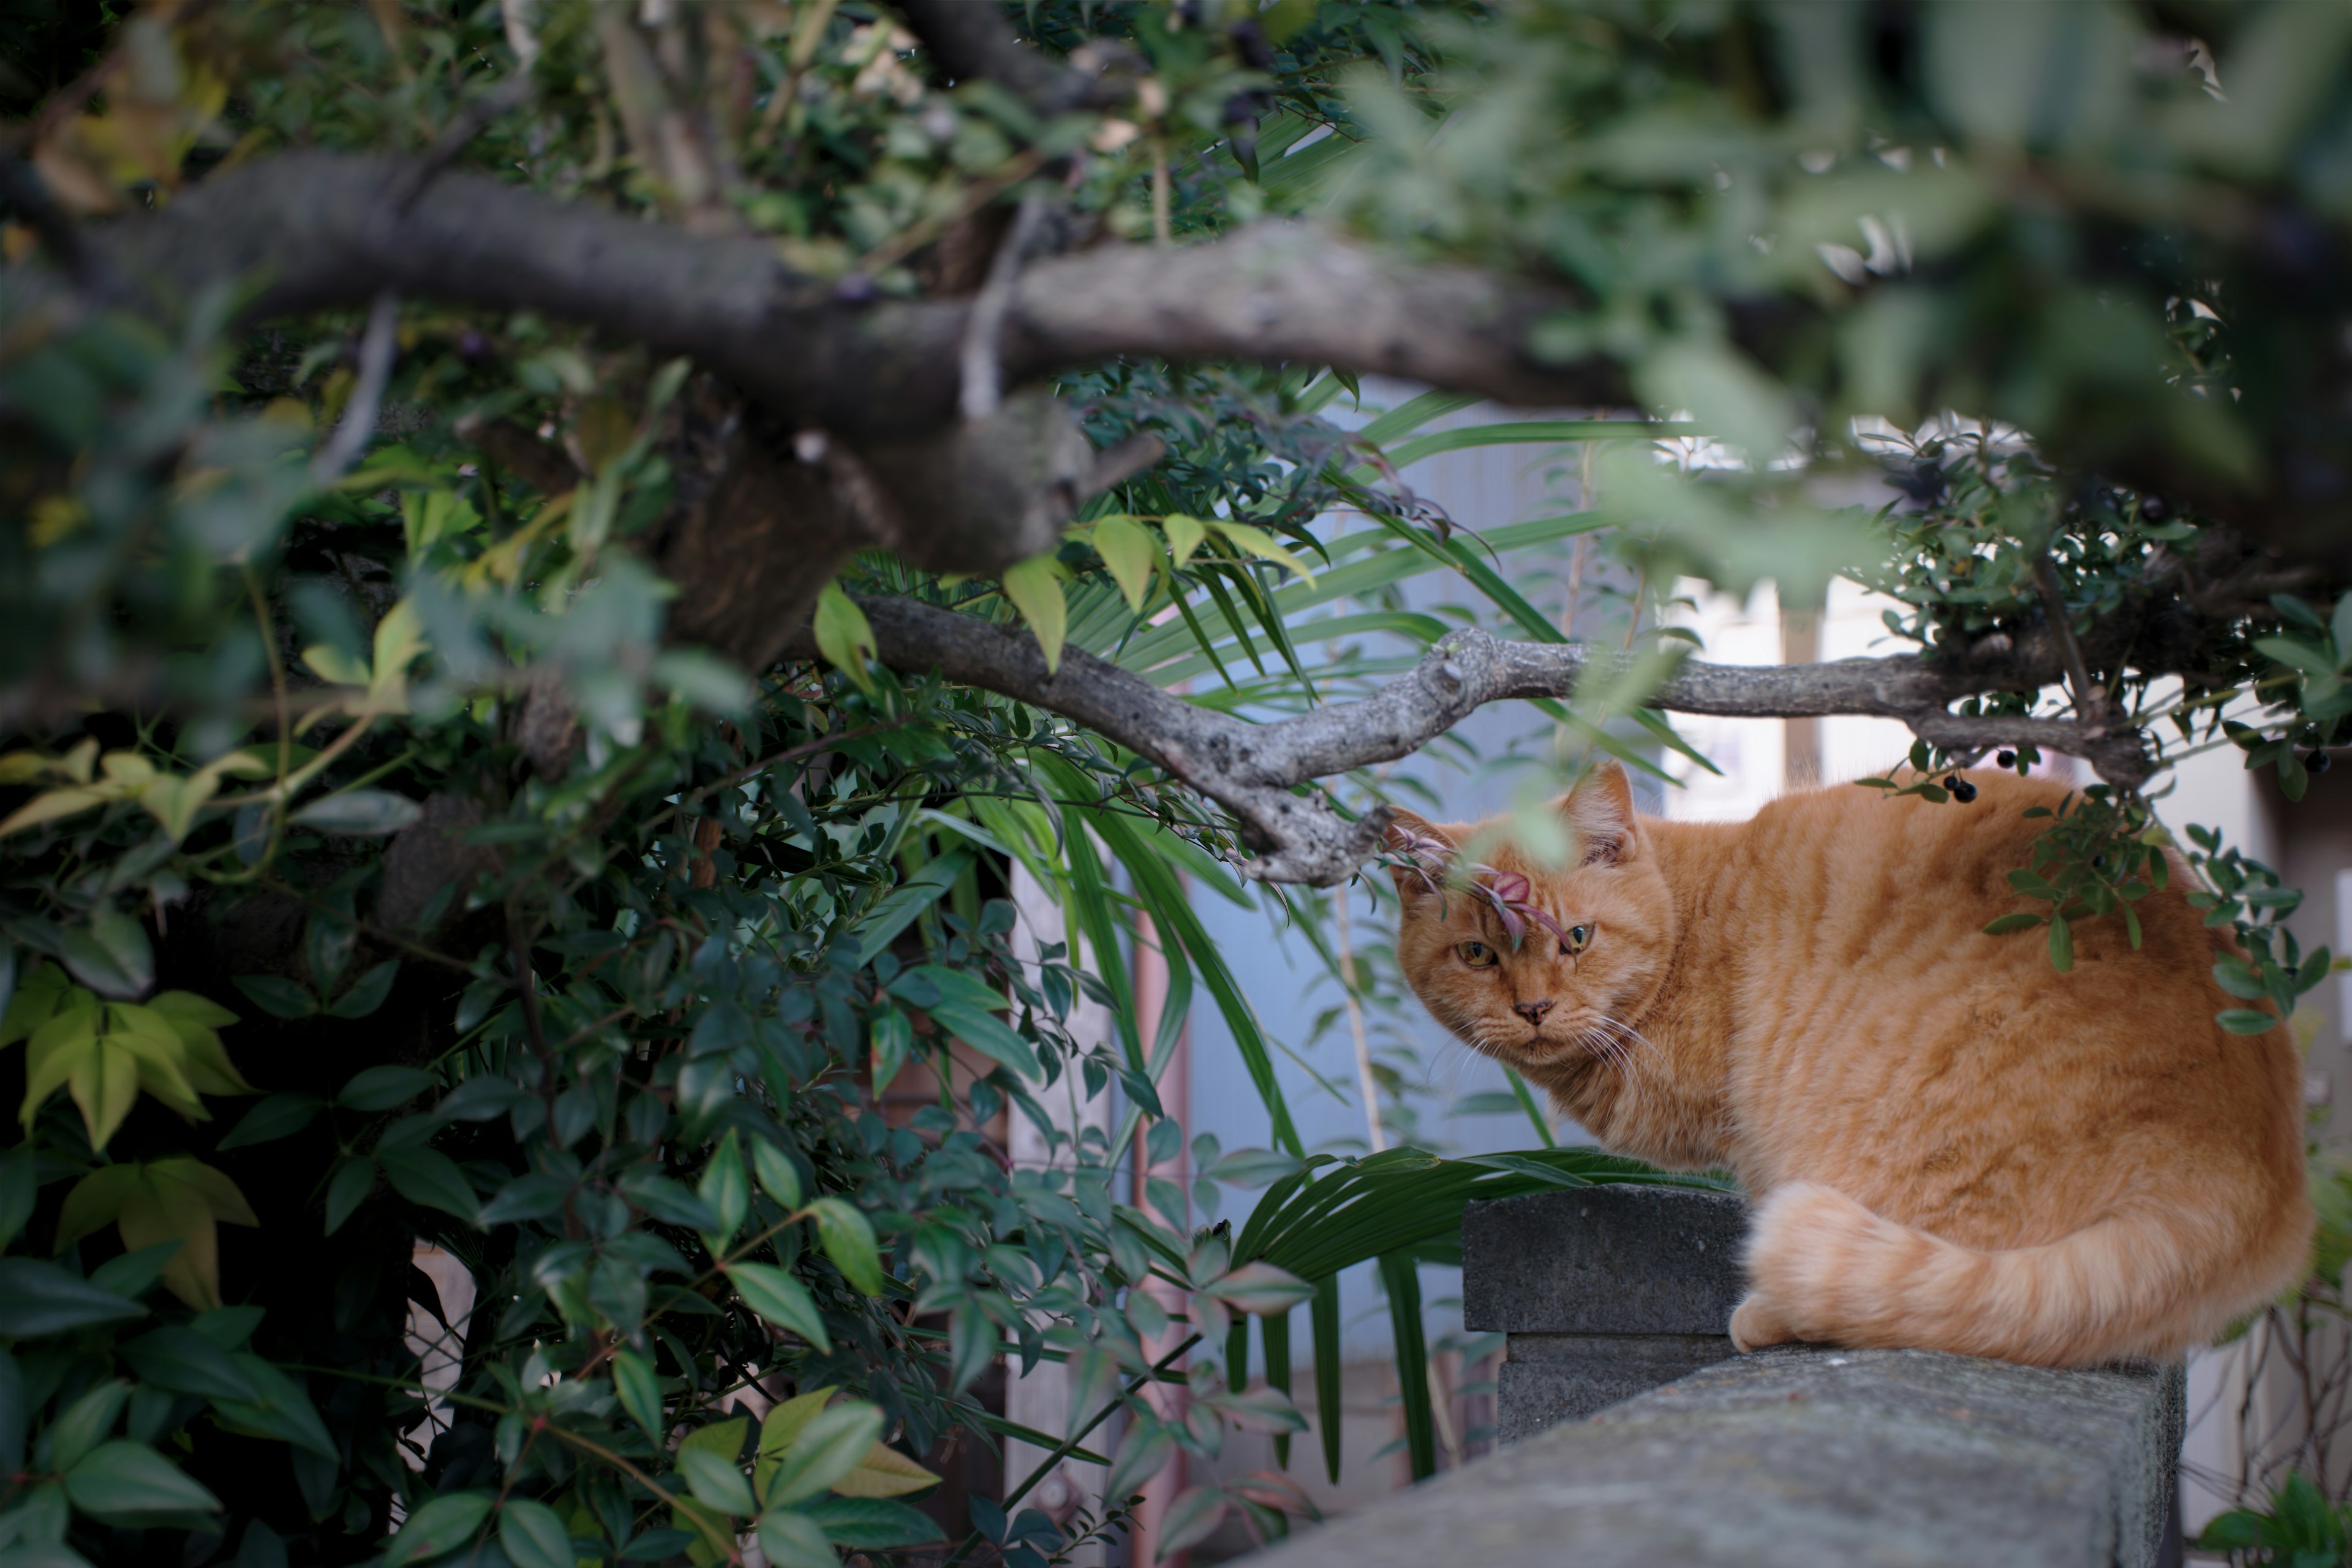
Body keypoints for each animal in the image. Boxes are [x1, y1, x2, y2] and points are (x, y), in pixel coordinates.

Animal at [1382, 766, 2305, 1363]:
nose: (1532, 1009)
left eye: (1576, 938)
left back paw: (1767, 1315)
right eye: (1476, 954)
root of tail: (2251, 1163)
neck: (1691, 925)